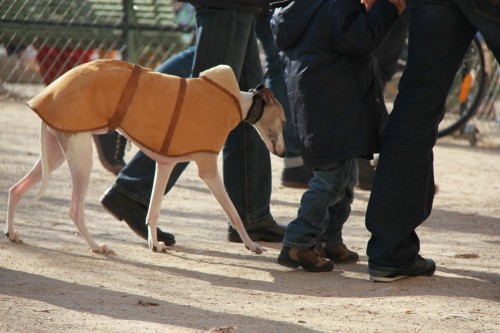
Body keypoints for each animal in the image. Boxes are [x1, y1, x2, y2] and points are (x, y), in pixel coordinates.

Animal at [5, 58, 286, 253]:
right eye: (283, 121)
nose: (283, 153)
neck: (236, 102)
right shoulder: (207, 169)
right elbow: (233, 211)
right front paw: (252, 244)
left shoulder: (165, 164)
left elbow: (153, 210)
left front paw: (155, 244)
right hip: (80, 157)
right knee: (74, 210)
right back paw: (96, 247)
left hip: (56, 153)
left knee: (16, 189)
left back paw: (12, 234)